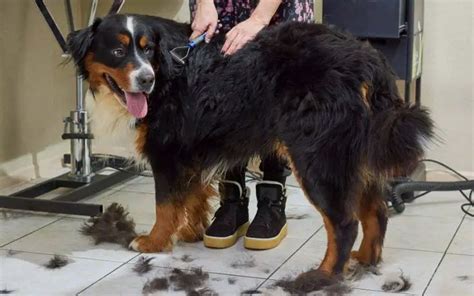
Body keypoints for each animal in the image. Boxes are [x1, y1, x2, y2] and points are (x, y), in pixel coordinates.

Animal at [66, 15, 434, 280]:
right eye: (118, 51)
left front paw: (154, 241)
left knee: (344, 223)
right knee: (376, 211)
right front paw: (191, 231)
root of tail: (367, 56)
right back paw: (366, 260)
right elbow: (194, 197)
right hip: (352, 154)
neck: (169, 69)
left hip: (316, 155)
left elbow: (165, 206)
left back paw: (324, 275)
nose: (145, 79)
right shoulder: (189, 150)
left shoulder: (166, 153)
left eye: (147, 50)